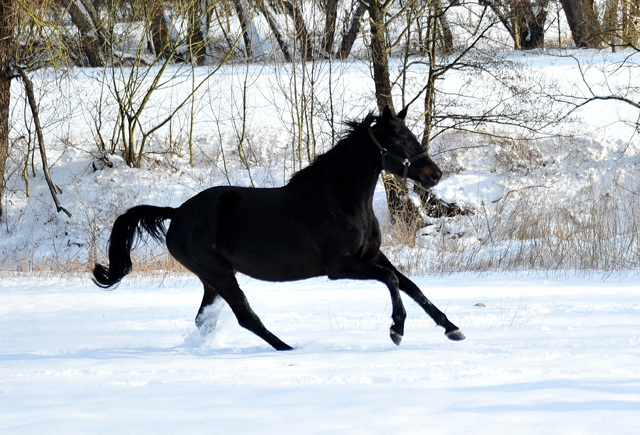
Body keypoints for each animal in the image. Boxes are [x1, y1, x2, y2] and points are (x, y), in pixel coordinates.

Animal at [94, 107, 464, 352]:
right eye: (398, 141)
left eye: (411, 136)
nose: (434, 174)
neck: (340, 201)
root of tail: (177, 213)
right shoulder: (340, 266)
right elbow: (392, 282)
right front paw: (396, 329)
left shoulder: (372, 255)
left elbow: (411, 286)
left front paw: (452, 328)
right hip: (219, 274)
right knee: (246, 317)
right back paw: (288, 348)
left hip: (212, 279)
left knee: (205, 319)